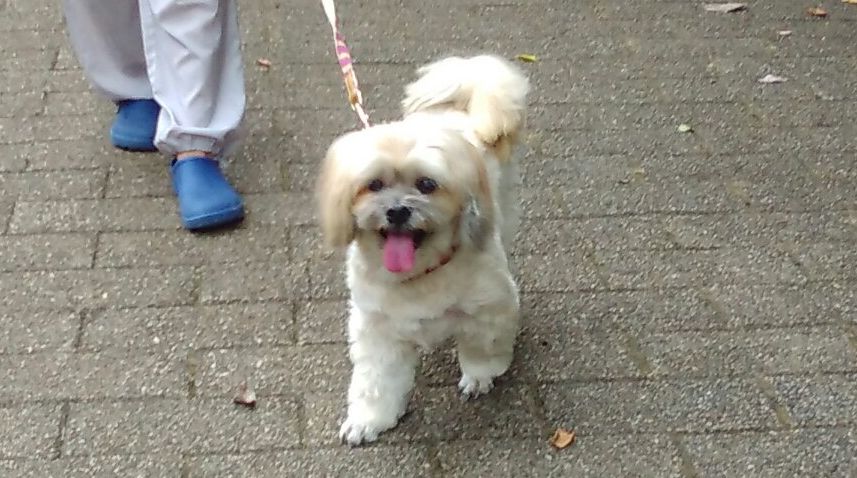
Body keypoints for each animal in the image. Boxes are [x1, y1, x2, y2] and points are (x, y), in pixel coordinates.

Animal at [317, 55, 529, 446]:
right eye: (374, 185)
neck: (421, 275)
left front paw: (479, 376)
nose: (397, 210)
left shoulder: (490, 308)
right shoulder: (377, 329)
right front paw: (369, 420)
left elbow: (482, 348)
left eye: (427, 184)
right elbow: (376, 382)